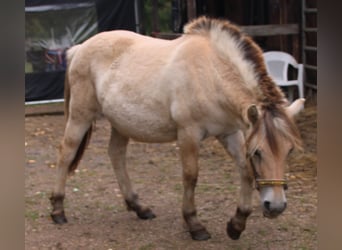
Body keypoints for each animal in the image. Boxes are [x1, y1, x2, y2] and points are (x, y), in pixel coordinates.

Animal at [48, 16, 304, 240]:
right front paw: (194, 225)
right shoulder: (188, 133)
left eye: (289, 150)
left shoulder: (230, 132)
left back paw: (139, 207)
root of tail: (80, 48)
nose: (276, 206)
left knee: (116, 155)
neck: (211, 73)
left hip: (120, 123)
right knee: (66, 153)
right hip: (80, 116)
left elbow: (246, 171)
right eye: (258, 152)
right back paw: (58, 210)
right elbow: (191, 176)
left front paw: (237, 224)